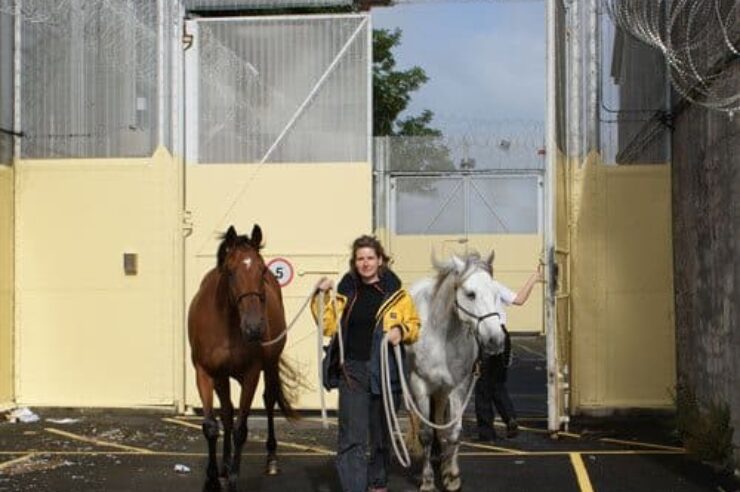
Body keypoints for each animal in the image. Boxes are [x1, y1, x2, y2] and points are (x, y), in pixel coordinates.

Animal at [188, 225, 300, 490]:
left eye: (262, 270)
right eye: (230, 272)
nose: (254, 328)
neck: (226, 325)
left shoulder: (251, 375)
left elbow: (241, 429)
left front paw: (233, 479)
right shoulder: (205, 373)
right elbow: (211, 426)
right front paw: (212, 478)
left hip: (269, 366)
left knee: (268, 400)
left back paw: (271, 459)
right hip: (221, 378)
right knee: (227, 412)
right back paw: (225, 464)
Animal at [404, 252, 508, 490]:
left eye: (496, 293)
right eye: (470, 294)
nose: (495, 340)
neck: (441, 336)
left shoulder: (458, 387)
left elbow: (453, 433)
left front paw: (451, 476)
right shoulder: (420, 385)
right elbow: (425, 433)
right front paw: (427, 480)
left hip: (443, 391)